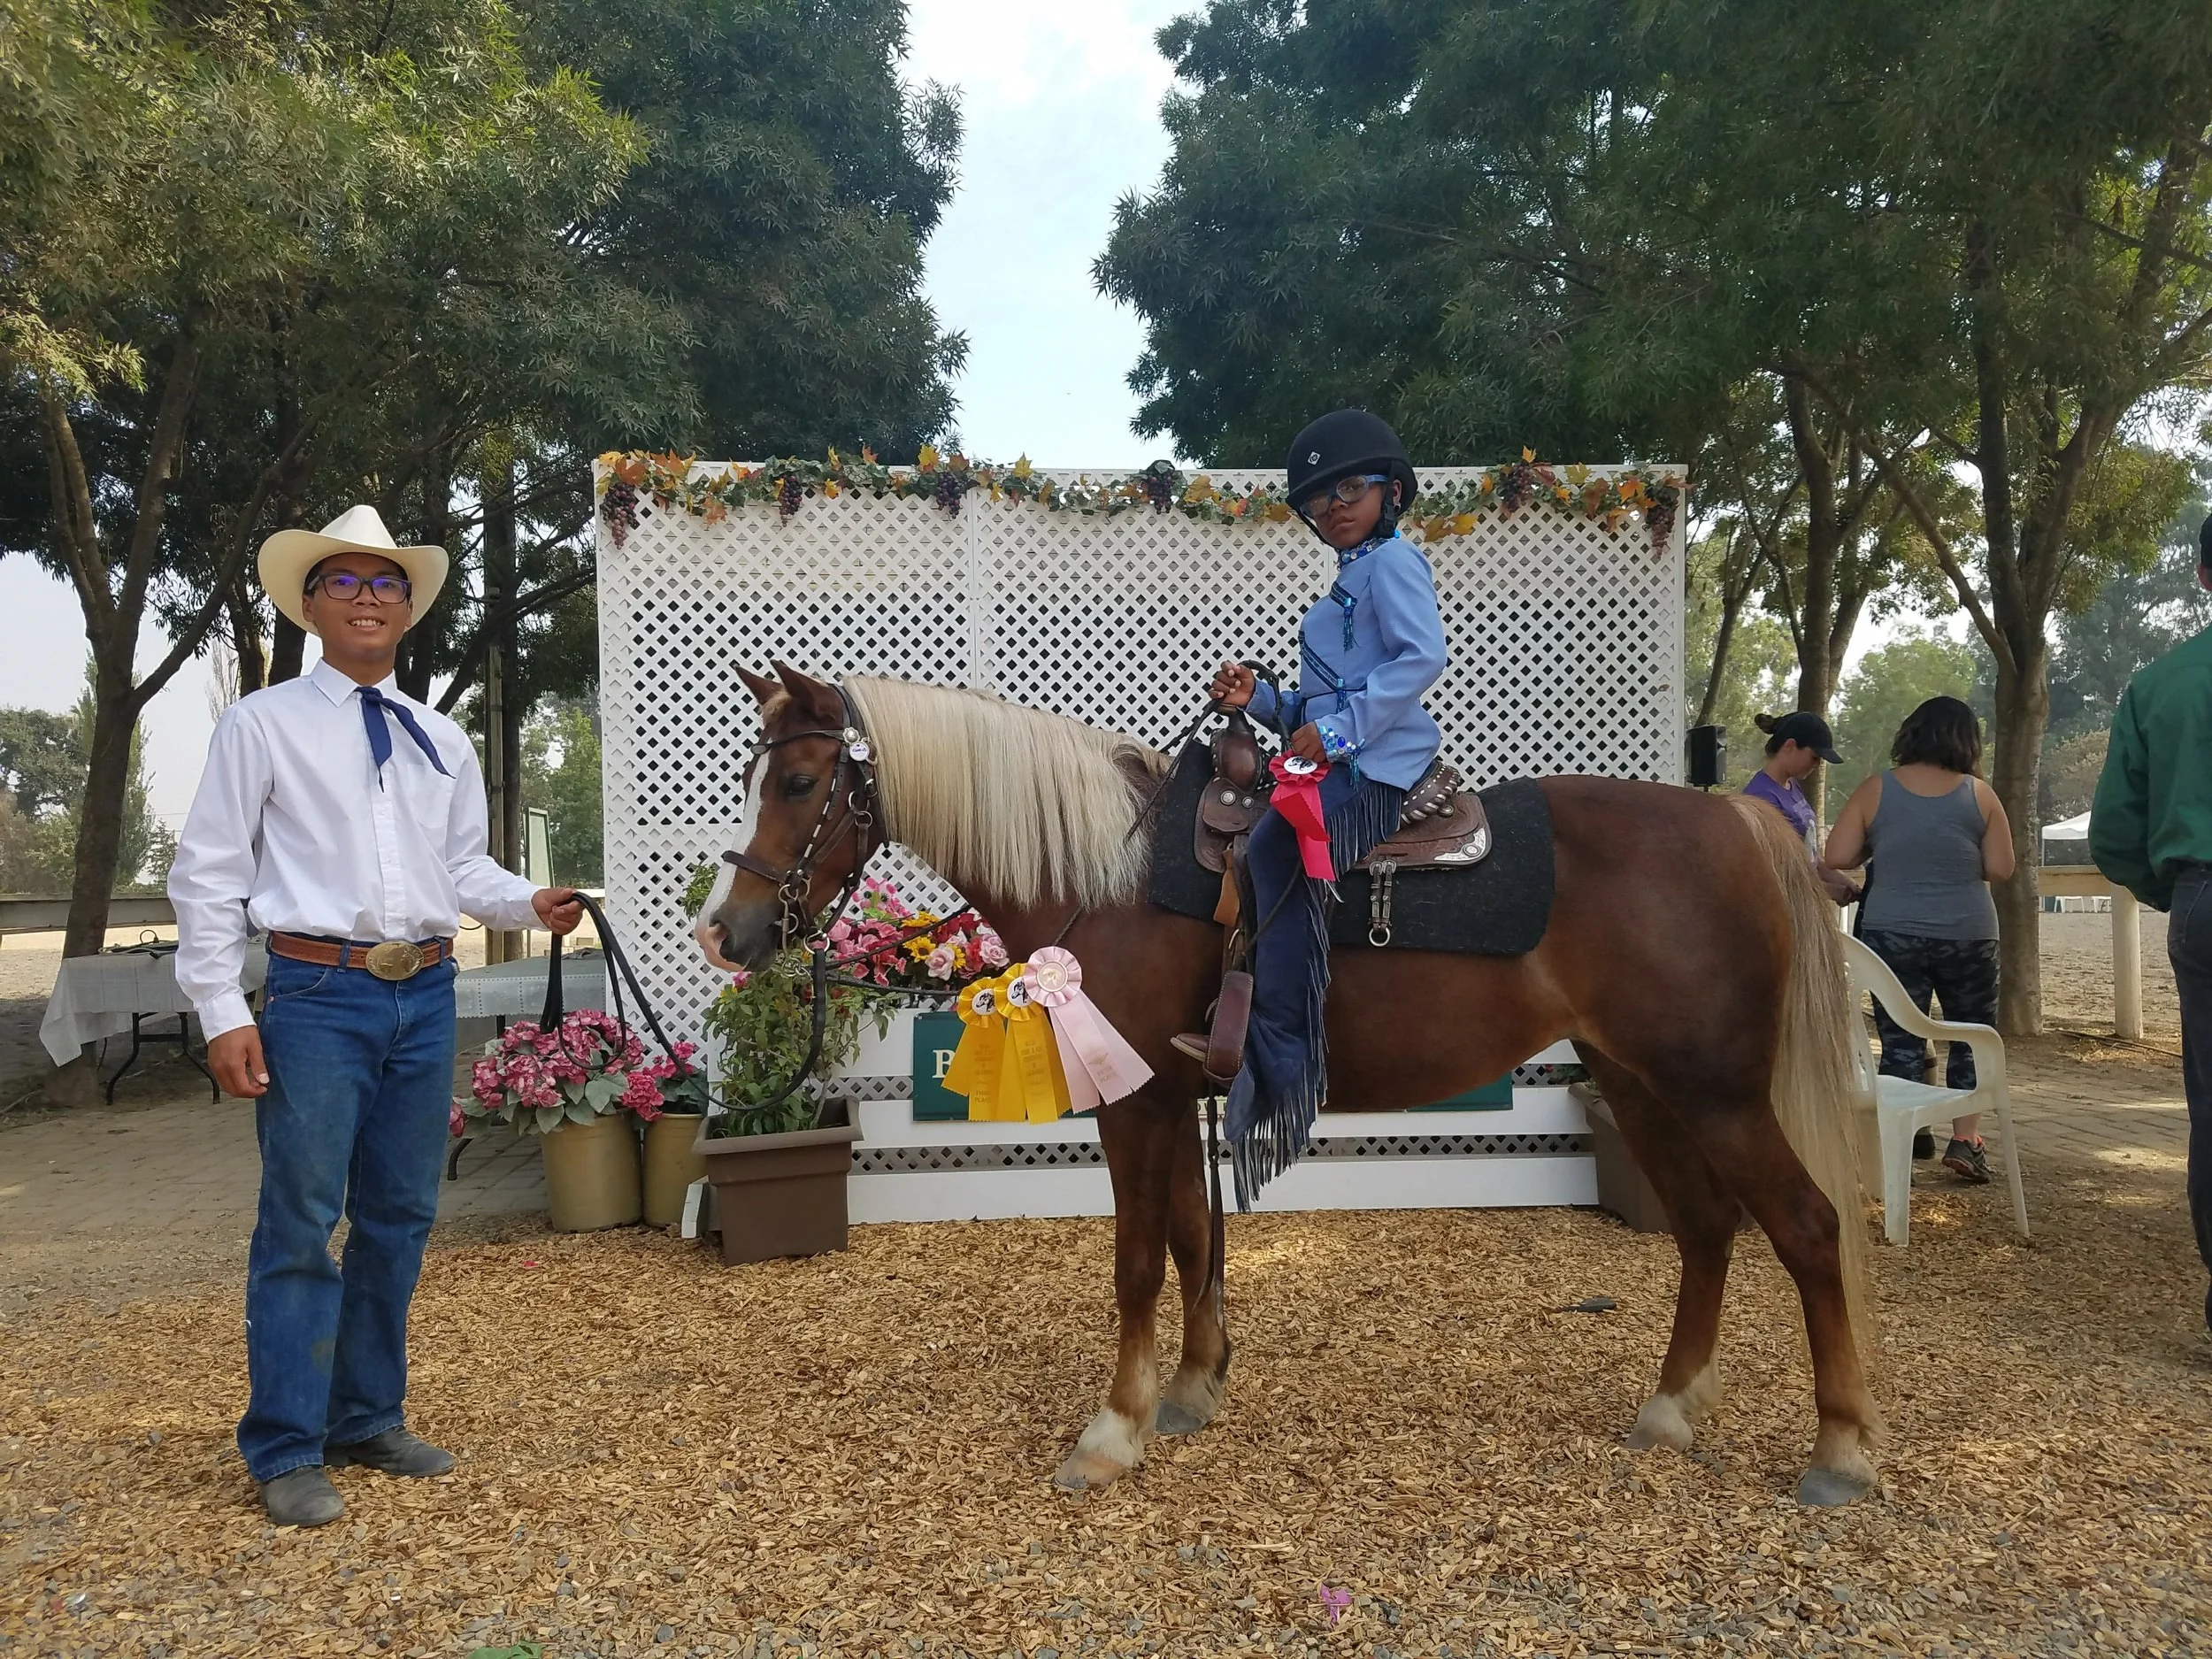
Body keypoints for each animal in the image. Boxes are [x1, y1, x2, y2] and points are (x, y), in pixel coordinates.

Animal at [697, 663, 1882, 1507]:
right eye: (752, 781)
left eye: (797, 783)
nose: (721, 933)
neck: (1112, 875)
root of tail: (1736, 821)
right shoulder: (1172, 1095)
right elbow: (1191, 1238)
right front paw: (1190, 1387)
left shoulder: (1134, 1105)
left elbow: (1137, 1262)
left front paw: (1110, 1434)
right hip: (1635, 1083)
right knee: (1707, 1228)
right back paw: (1671, 1410)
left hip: (1715, 1090)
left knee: (1807, 1227)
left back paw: (1840, 1451)